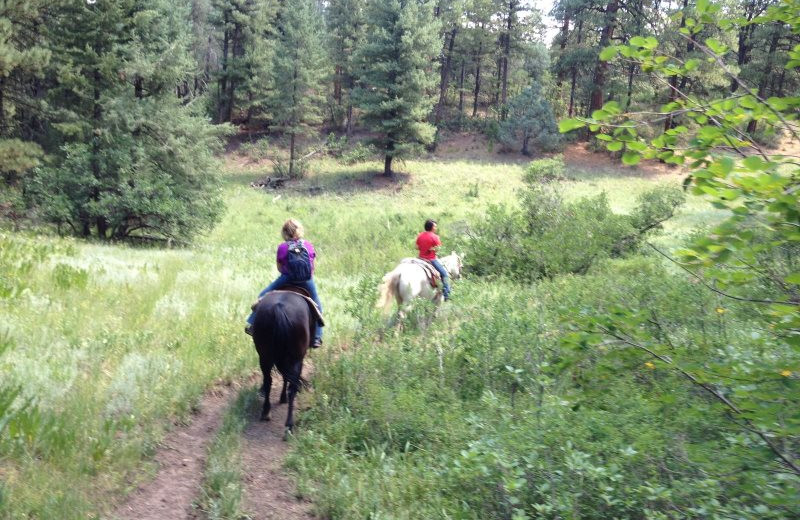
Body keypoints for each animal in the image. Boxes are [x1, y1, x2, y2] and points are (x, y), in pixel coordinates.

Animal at [252, 290, 318, 436]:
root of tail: (279, 308)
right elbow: (287, 379)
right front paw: (283, 398)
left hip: (264, 356)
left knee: (268, 381)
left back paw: (266, 412)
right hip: (296, 359)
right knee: (291, 387)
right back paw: (289, 425)